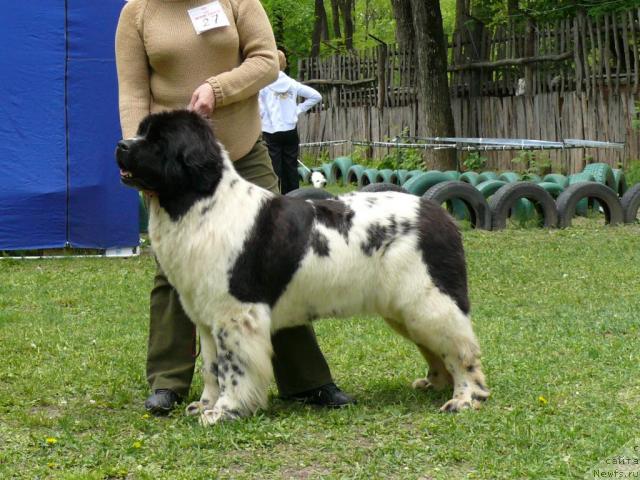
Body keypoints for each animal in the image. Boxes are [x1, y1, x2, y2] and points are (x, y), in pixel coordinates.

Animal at [116, 110, 490, 426]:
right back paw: (435, 383)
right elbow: (211, 367)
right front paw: (205, 405)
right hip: (405, 310)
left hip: (429, 300)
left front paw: (226, 411)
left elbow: (233, 368)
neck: (201, 204)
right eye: (142, 131)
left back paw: (465, 398)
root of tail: (438, 213)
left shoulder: (235, 314)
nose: (120, 145)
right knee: (437, 348)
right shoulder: (207, 319)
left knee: (462, 350)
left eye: (158, 141)